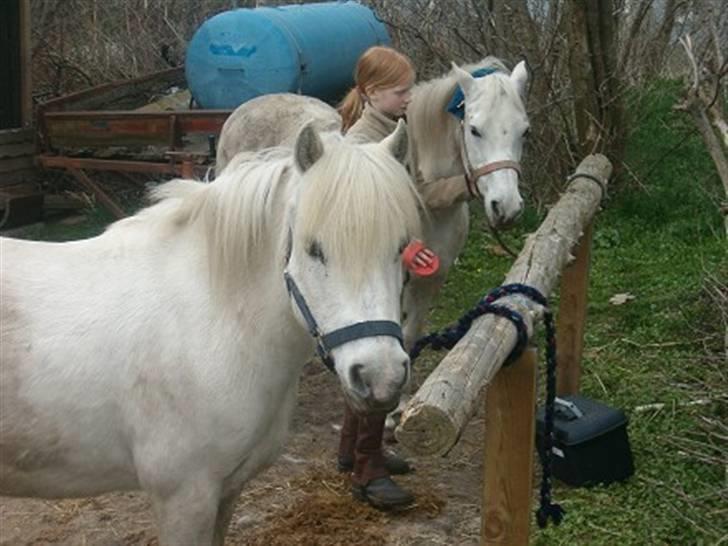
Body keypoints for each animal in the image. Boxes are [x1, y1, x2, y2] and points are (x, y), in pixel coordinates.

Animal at [0, 121, 420, 540]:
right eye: (314, 249)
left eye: (400, 247)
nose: (380, 376)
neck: (215, 320)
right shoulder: (184, 498)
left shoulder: (227, 490)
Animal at [216, 57, 528, 346]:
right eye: (474, 129)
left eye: (524, 130)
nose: (507, 206)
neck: (427, 206)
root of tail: (244, 109)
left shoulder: (427, 285)